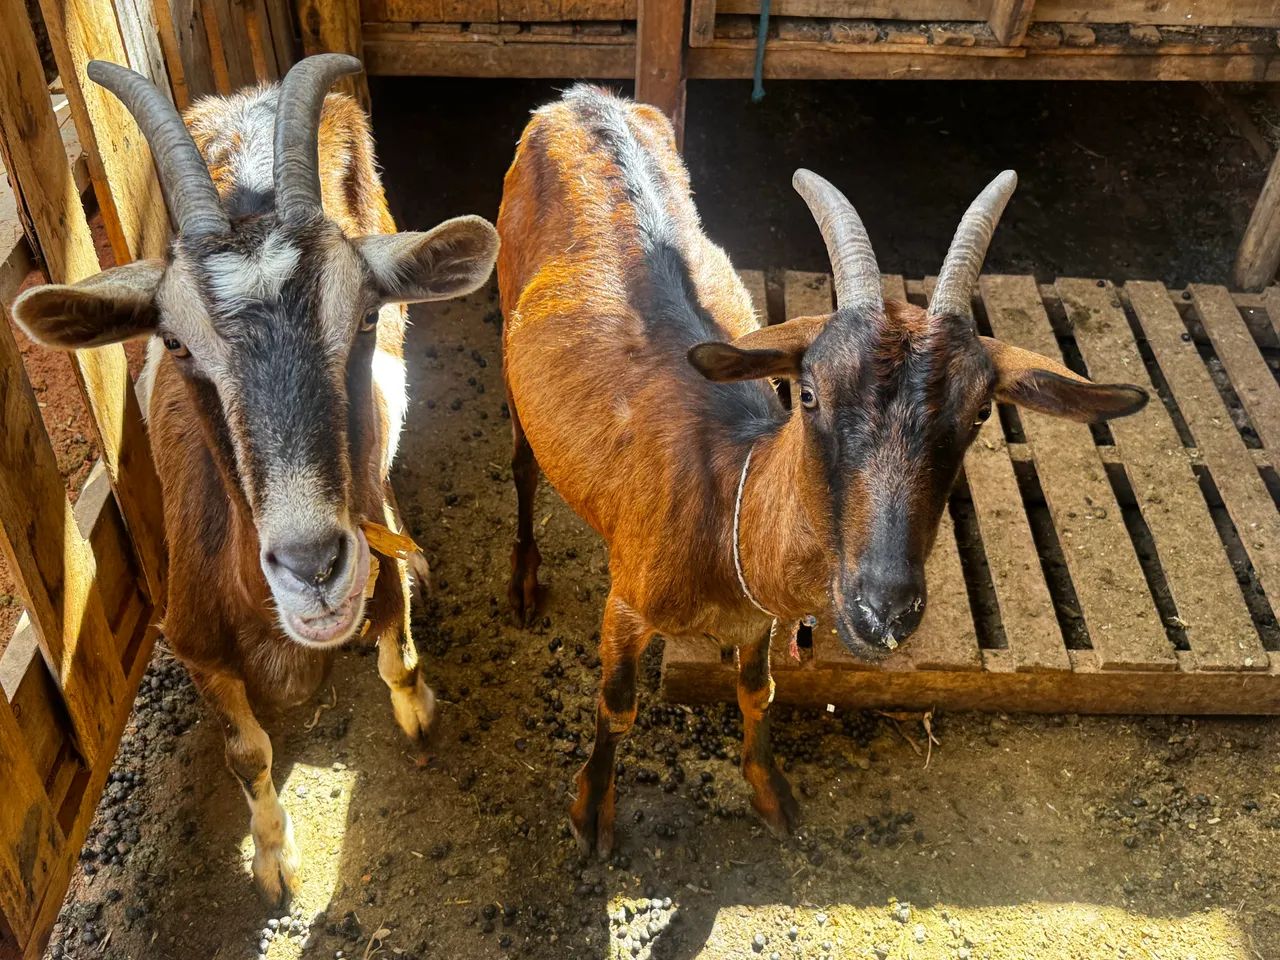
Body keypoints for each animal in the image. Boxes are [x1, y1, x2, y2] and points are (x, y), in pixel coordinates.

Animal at [13, 55, 499, 904]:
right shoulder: (195, 643)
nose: (315, 570)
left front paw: (418, 704)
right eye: (175, 343)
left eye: (362, 315)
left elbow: (398, 653)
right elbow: (246, 753)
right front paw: (274, 860)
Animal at [496, 86, 1146, 855]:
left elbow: (758, 692)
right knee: (522, 462)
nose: (882, 609)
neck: (728, 499)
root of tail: (581, 99)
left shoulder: (758, 620)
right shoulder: (626, 601)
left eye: (983, 412)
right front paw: (592, 810)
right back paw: (523, 580)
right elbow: (617, 704)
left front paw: (770, 791)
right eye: (807, 394)